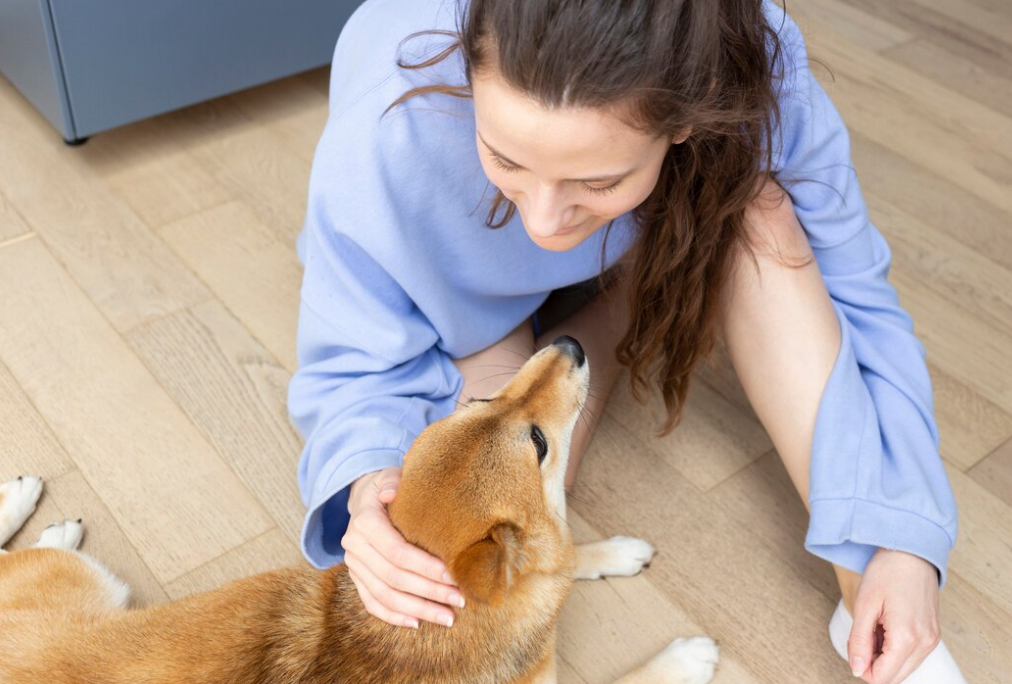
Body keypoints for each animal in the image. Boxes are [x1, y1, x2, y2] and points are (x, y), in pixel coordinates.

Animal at [0, 335, 720, 683]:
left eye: (481, 400)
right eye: (539, 442)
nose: (569, 343)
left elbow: (568, 558)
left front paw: (614, 551)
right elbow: (632, 672)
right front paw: (686, 659)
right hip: (88, 579)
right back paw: (39, 511)